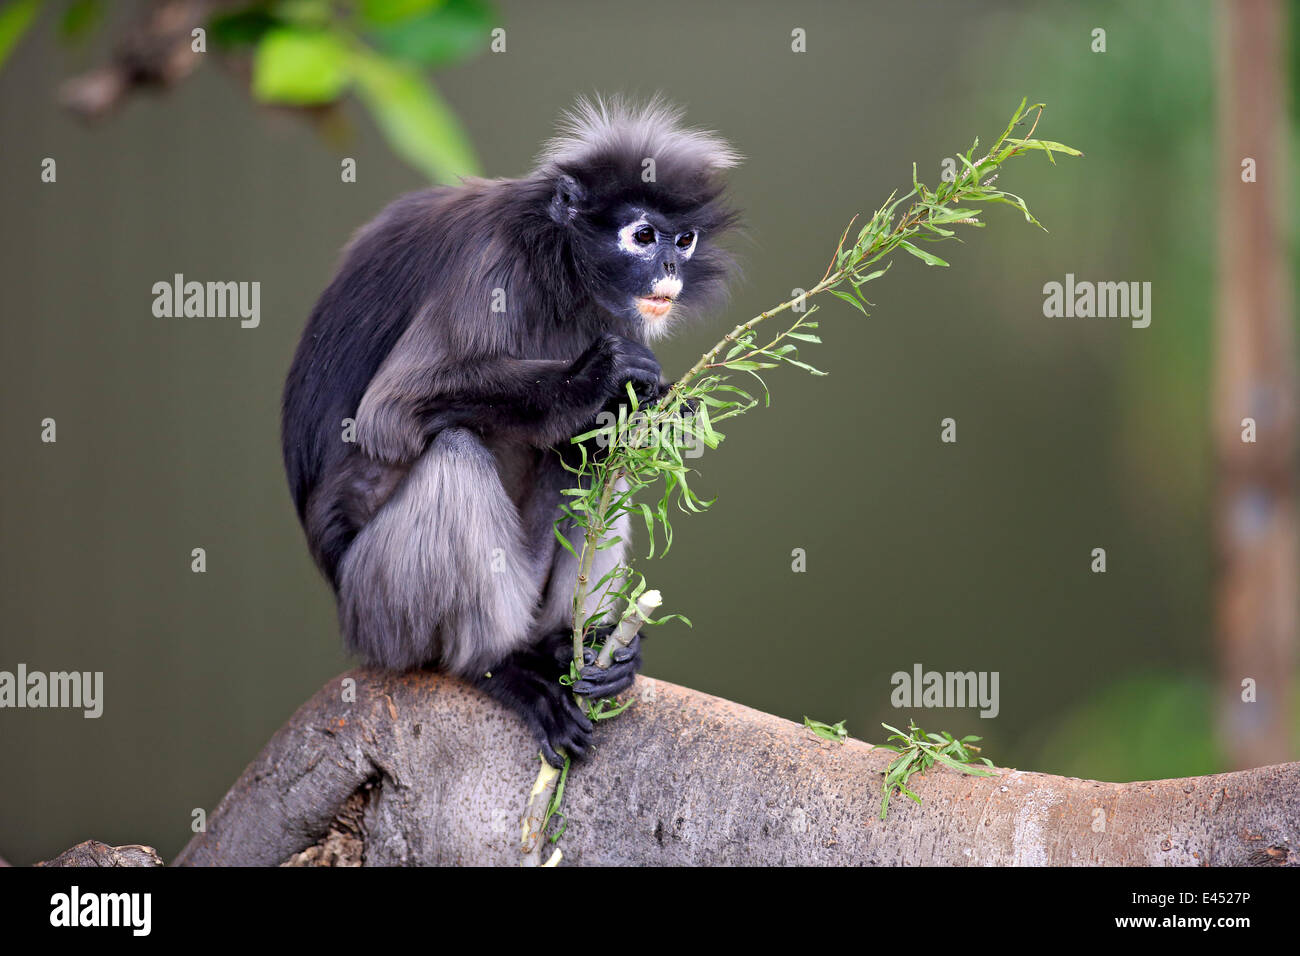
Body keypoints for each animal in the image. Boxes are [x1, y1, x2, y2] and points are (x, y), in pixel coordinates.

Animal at [281, 96, 739, 767]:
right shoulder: (492, 264)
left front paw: (659, 412)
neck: (555, 260)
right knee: (453, 451)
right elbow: (388, 413)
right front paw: (594, 376)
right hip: (379, 606)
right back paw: (502, 667)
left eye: (685, 238)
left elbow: (617, 430)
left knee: (594, 455)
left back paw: (577, 648)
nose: (671, 265)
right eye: (643, 235)